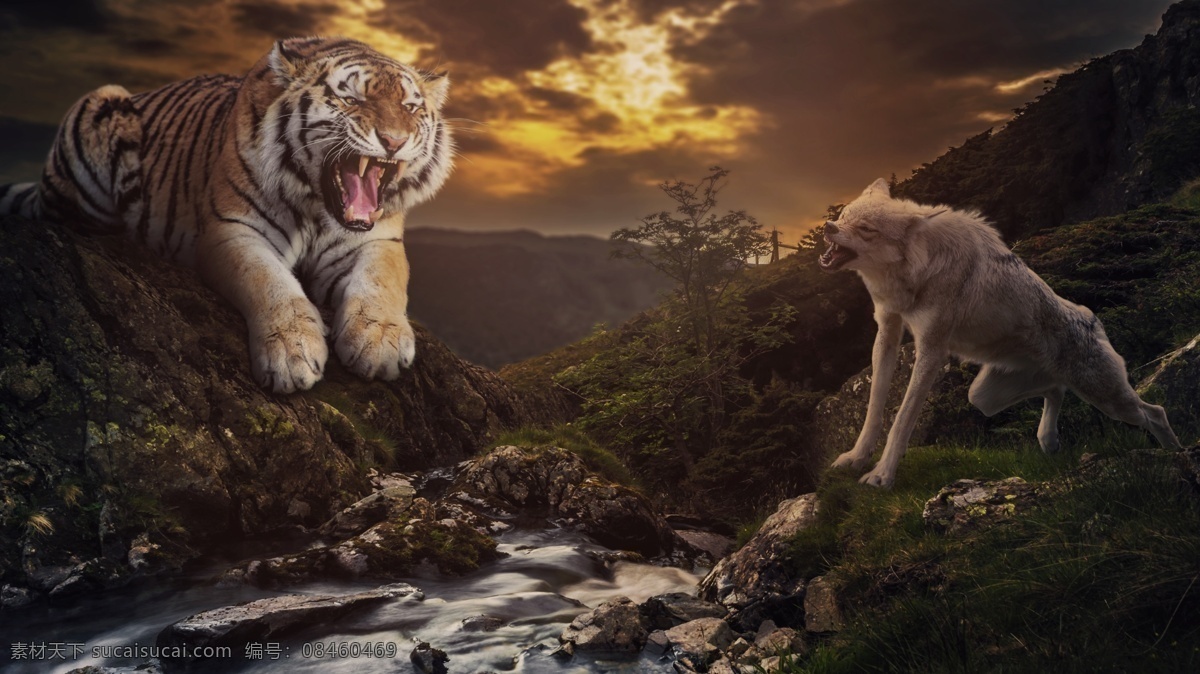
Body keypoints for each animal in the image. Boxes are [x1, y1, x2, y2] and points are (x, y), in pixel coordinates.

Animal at [0, 36, 454, 393]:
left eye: (411, 108)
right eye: (351, 99)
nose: (394, 141)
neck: (316, 205)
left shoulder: (377, 239)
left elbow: (382, 281)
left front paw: (379, 342)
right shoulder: (233, 230)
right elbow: (268, 282)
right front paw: (291, 354)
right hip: (99, 105)